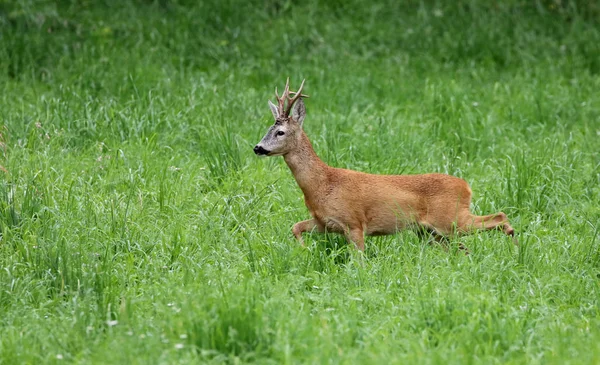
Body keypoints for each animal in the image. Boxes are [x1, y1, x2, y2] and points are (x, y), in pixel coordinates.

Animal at [253, 79, 516, 250]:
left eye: (280, 132)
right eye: (267, 129)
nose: (258, 147)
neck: (322, 185)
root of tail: (466, 186)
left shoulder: (354, 223)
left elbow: (359, 259)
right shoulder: (324, 221)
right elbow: (295, 227)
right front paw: (304, 250)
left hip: (450, 219)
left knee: (499, 217)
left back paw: (515, 244)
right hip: (431, 231)